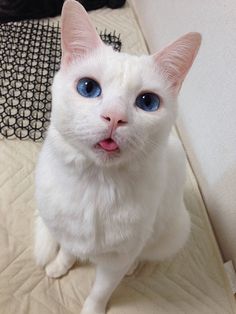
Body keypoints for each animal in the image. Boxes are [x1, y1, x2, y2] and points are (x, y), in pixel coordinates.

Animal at [34, 1, 201, 312]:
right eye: (88, 87)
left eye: (148, 102)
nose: (115, 117)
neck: (96, 185)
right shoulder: (66, 230)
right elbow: (67, 250)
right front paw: (60, 266)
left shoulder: (116, 262)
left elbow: (101, 291)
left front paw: (92, 309)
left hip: (173, 232)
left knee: (144, 252)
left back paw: (135, 266)